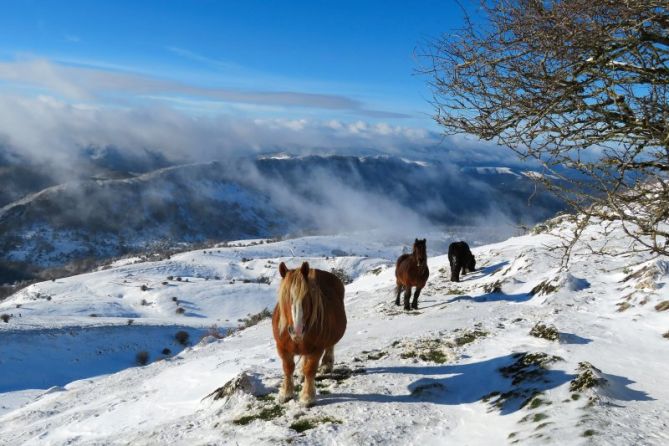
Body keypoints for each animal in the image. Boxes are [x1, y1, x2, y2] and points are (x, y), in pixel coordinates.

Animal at [270, 262, 344, 408]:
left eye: (306, 297)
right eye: (286, 297)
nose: (297, 331)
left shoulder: (316, 349)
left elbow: (310, 370)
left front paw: (307, 397)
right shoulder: (282, 348)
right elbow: (288, 368)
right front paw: (286, 393)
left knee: (330, 346)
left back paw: (326, 365)